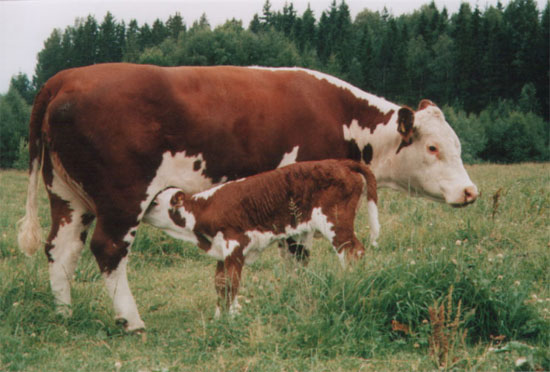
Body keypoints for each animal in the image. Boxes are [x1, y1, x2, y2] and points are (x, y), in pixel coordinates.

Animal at [144, 158, 382, 316]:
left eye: (155, 202)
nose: (140, 210)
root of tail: (341, 162)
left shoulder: (234, 245)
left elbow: (231, 284)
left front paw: (232, 318)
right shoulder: (221, 251)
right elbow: (220, 284)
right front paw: (219, 317)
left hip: (336, 222)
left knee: (352, 252)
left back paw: (350, 282)